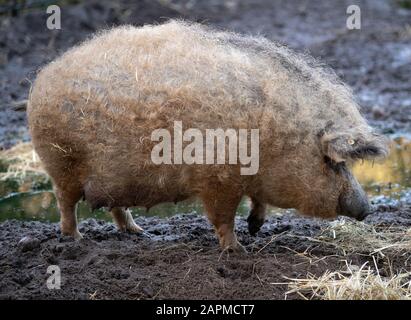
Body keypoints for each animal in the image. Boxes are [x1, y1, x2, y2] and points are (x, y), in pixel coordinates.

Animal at [28, 20, 390, 251]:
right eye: (331, 162)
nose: (366, 209)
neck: (275, 139)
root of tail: (43, 77)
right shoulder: (217, 179)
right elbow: (223, 216)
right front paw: (237, 251)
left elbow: (257, 200)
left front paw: (255, 228)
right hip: (62, 163)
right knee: (65, 204)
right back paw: (76, 241)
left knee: (115, 206)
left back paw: (139, 233)